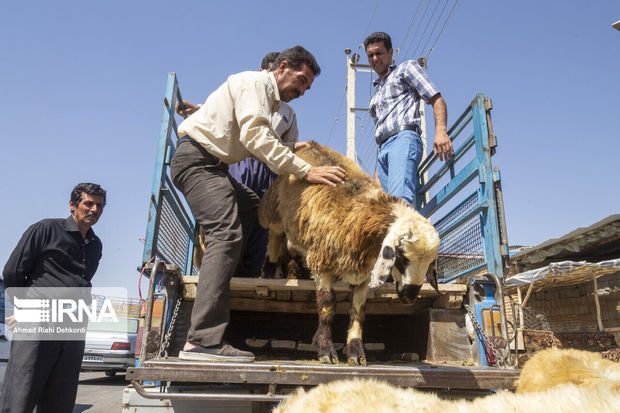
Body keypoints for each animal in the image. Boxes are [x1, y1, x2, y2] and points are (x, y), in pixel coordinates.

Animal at [258, 142, 440, 364]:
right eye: (402, 257)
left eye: (430, 263)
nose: (410, 296)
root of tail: (309, 143)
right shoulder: (321, 263)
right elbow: (328, 306)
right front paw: (325, 350)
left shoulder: (363, 276)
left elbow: (358, 312)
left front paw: (356, 352)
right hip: (273, 212)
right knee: (274, 241)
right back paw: (268, 271)